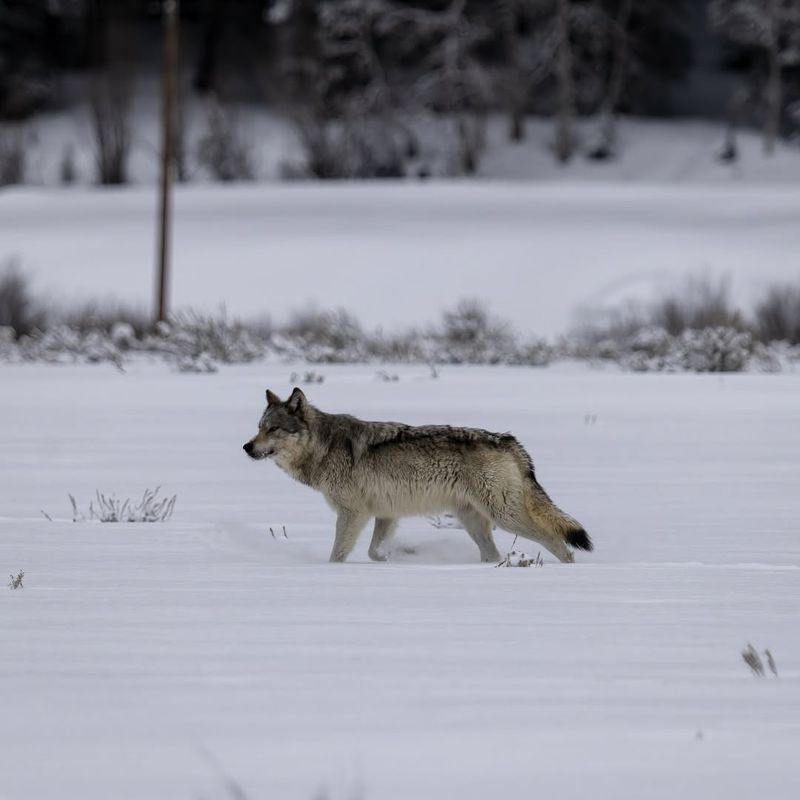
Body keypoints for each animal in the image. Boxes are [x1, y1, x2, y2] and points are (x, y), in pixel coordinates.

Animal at [244, 388, 592, 564]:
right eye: (259, 427)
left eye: (272, 429)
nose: (246, 447)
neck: (324, 446)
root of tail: (509, 440)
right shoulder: (384, 514)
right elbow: (373, 551)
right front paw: (395, 556)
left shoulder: (353, 514)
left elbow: (337, 555)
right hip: (473, 520)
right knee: (492, 554)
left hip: (506, 516)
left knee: (558, 543)